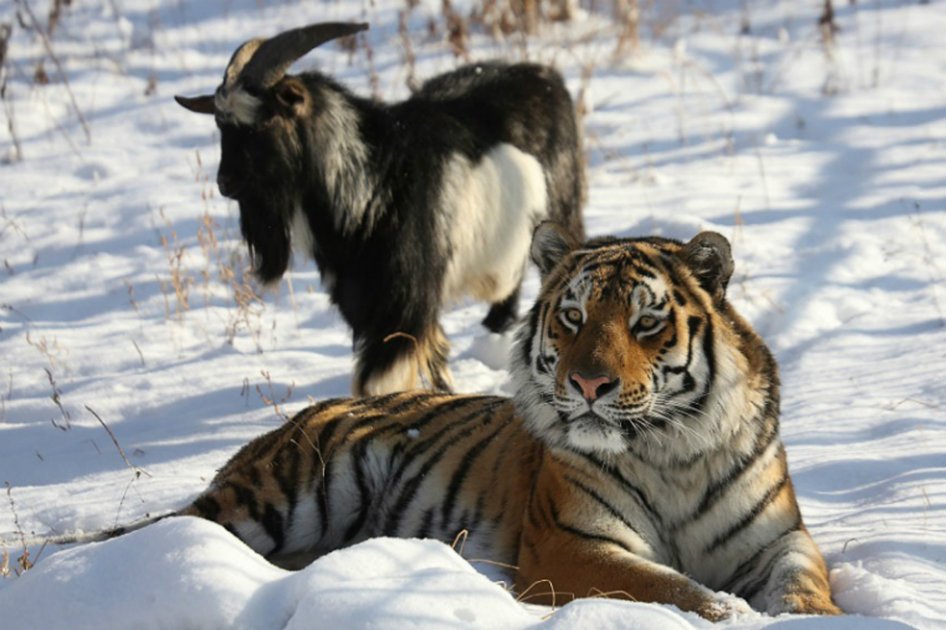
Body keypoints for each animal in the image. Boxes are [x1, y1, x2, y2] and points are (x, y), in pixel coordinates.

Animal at [97, 223, 841, 620]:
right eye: (573, 317)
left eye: (645, 322)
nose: (589, 383)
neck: (672, 452)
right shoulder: (569, 544)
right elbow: (674, 589)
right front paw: (732, 615)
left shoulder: (778, 538)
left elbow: (803, 582)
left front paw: (818, 619)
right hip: (283, 495)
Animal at [175, 22, 585, 395]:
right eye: (221, 124)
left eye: (264, 121)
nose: (224, 182)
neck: (372, 182)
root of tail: (544, 76)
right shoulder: (367, 305)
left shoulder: (403, 303)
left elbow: (378, 380)